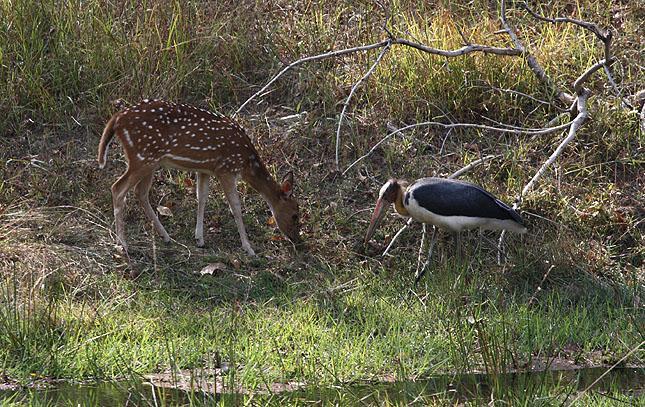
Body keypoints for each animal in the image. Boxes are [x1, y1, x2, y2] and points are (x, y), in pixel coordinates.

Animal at [96, 99, 302, 256]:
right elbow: (235, 206)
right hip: (143, 156)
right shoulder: (226, 168)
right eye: (295, 215)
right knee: (118, 188)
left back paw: (166, 237)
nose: (297, 240)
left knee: (140, 192)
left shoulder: (205, 169)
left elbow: (201, 198)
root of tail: (116, 119)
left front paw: (200, 238)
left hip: (150, 161)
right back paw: (123, 244)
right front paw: (248, 248)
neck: (246, 162)